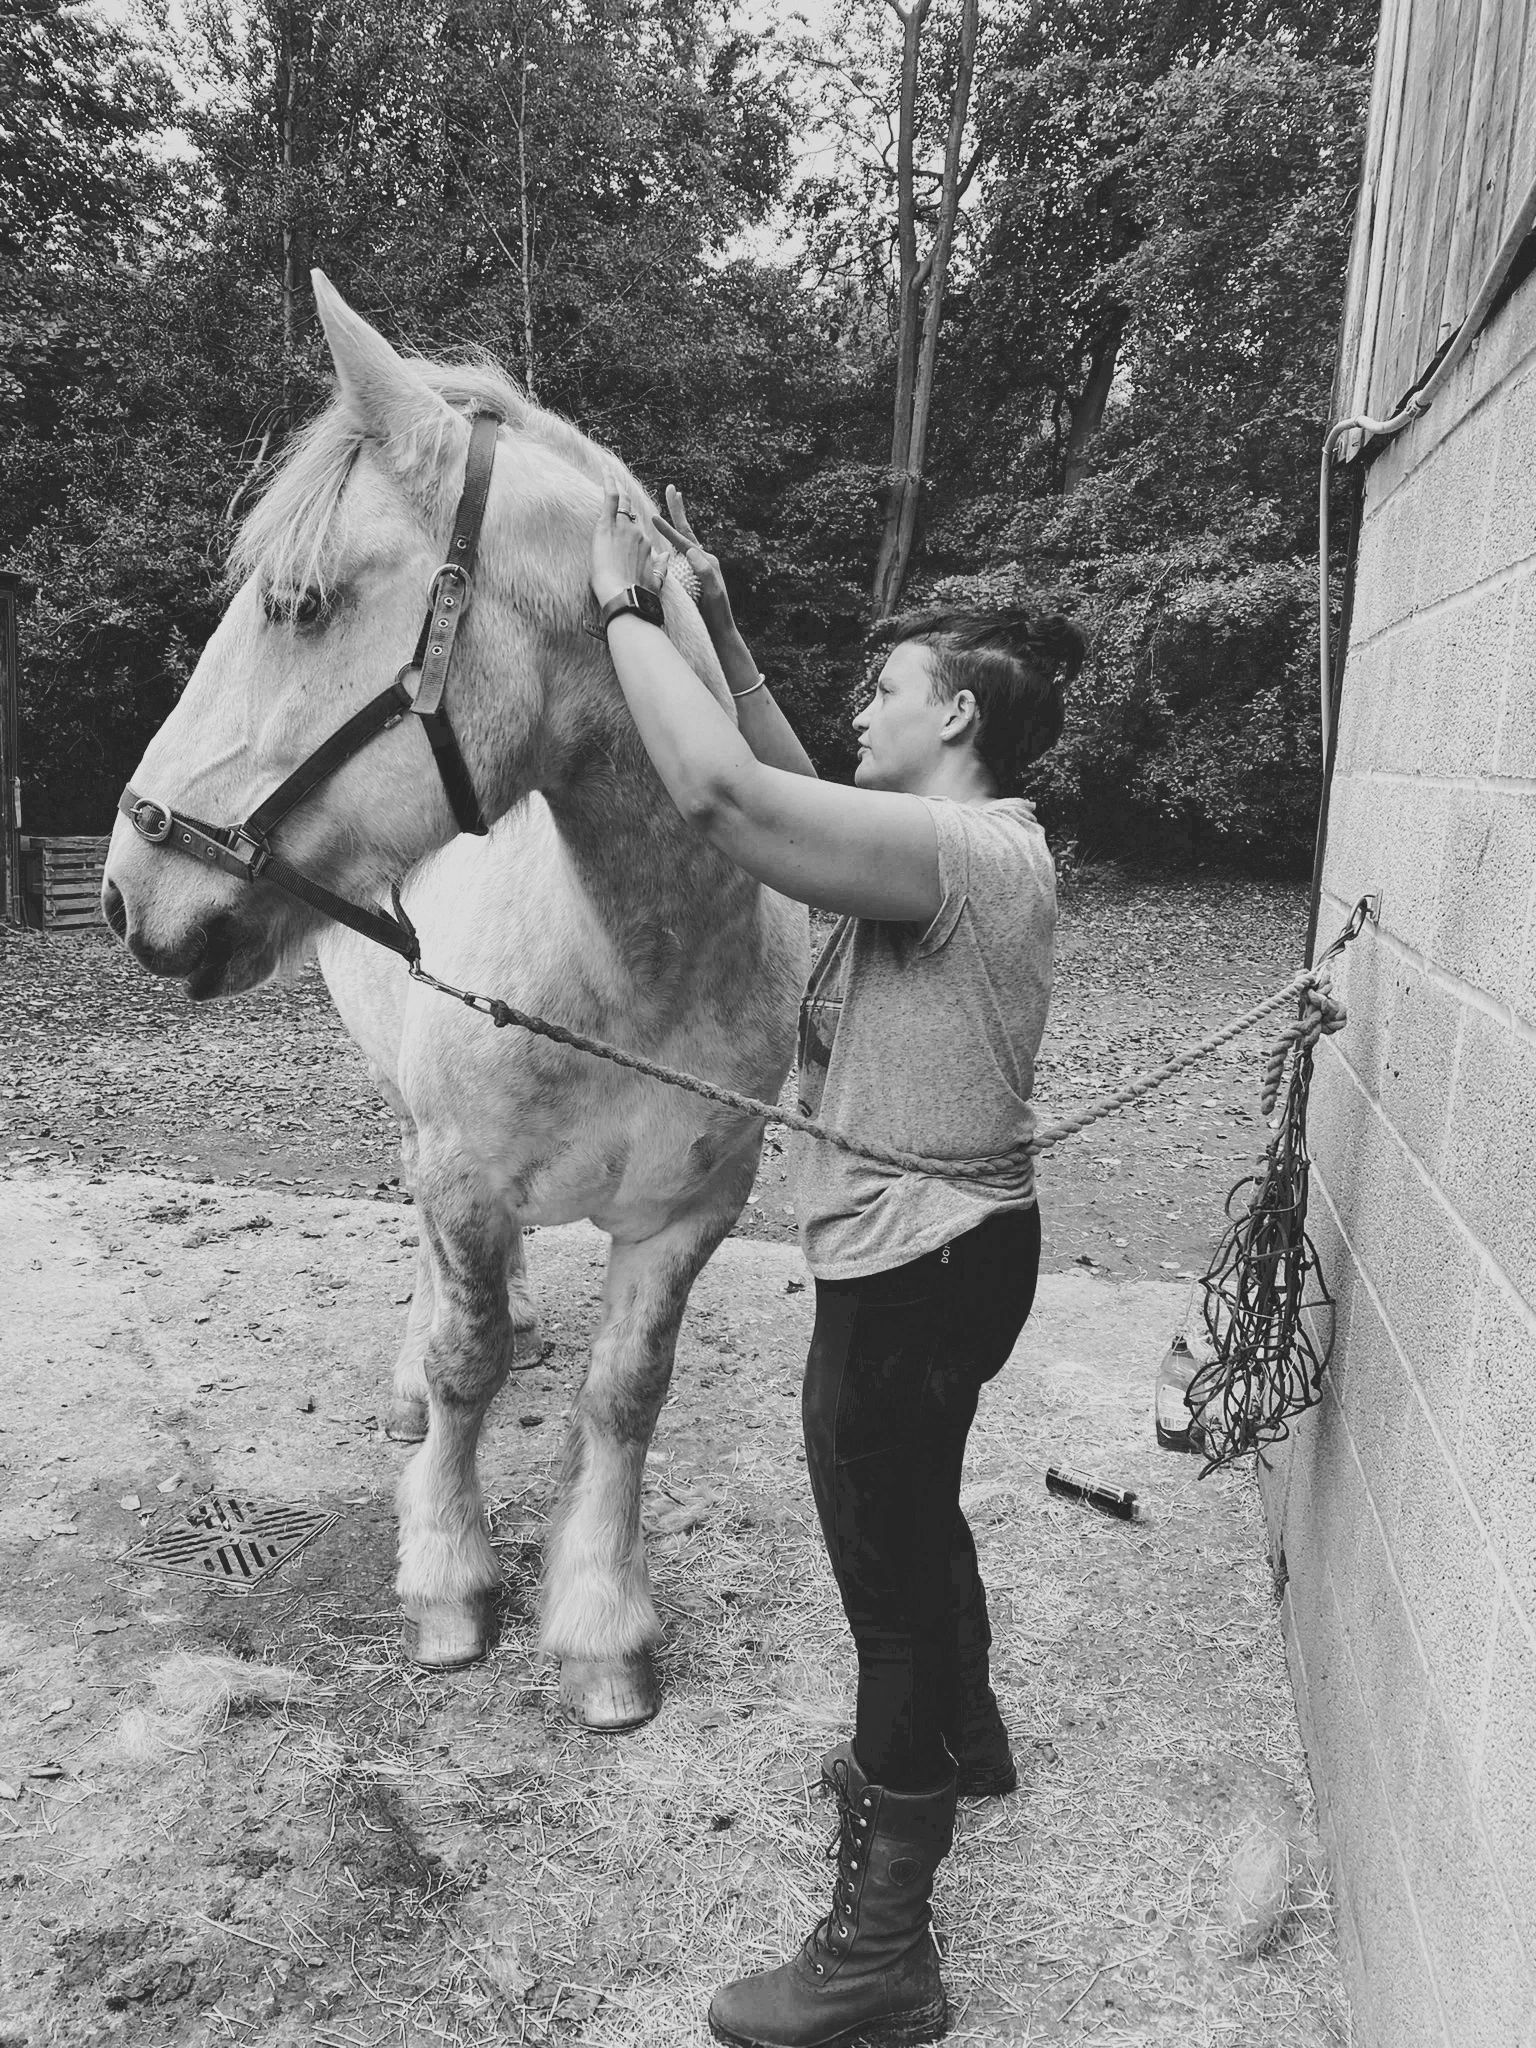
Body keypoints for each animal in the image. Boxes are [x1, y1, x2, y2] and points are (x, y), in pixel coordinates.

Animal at [102, 273, 808, 1731]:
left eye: (301, 605)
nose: (127, 889)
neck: (632, 959)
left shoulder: (693, 1209)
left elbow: (626, 1394)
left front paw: (600, 1625)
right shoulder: (467, 1176)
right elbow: (465, 1365)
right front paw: (446, 1574)